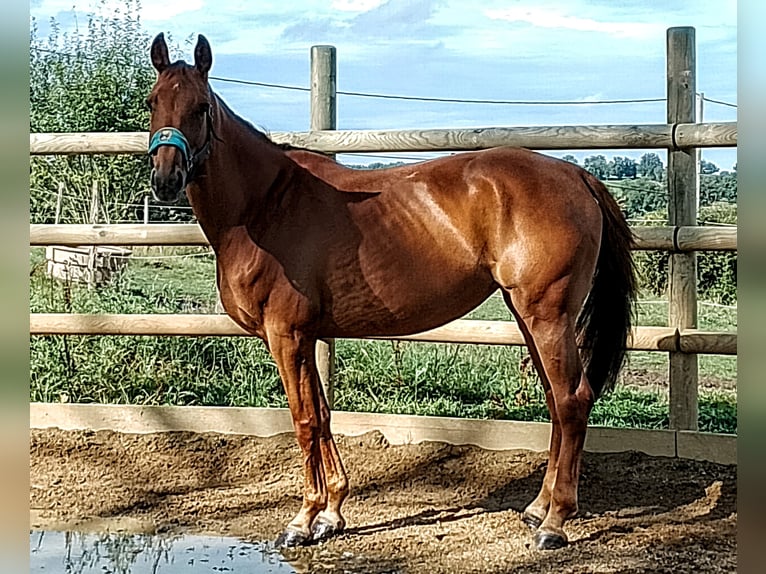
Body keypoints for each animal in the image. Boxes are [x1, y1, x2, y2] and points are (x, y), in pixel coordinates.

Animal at [146, 33, 636, 551]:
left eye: (201, 107)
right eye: (153, 101)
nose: (165, 179)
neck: (265, 205)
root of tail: (576, 174)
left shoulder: (287, 336)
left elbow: (303, 421)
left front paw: (302, 520)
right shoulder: (306, 337)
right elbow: (322, 415)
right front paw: (331, 514)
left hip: (548, 314)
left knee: (572, 401)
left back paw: (555, 522)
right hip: (530, 317)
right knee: (555, 403)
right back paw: (537, 508)